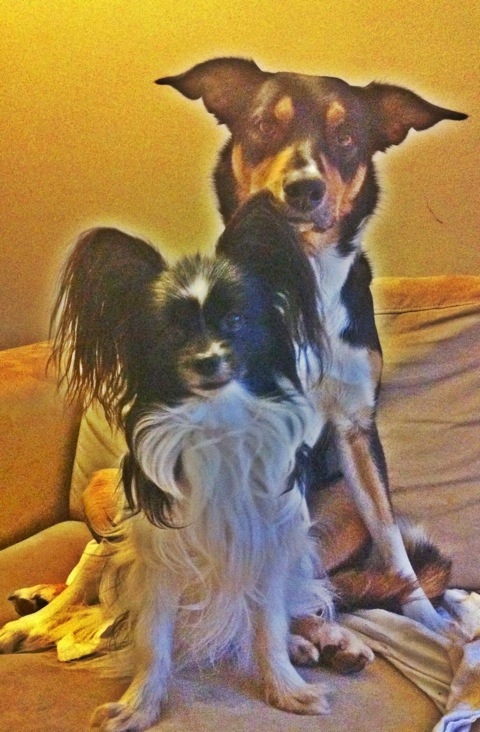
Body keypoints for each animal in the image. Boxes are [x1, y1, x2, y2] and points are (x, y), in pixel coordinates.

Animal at [0, 196, 374, 730]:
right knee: (82, 580)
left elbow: (267, 626)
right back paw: (32, 621)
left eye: (235, 322)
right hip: (109, 528)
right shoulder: (156, 556)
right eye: (171, 331)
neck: (214, 421)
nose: (207, 360)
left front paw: (285, 687)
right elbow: (153, 640)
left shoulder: (268, 545)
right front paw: (140, 704)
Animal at [157, 58, 467, 630]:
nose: (305, 189)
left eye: (346, 138)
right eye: (264, 126)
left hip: (341, 496)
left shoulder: (356, 428)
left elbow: (393, 542)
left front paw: (429, 622)